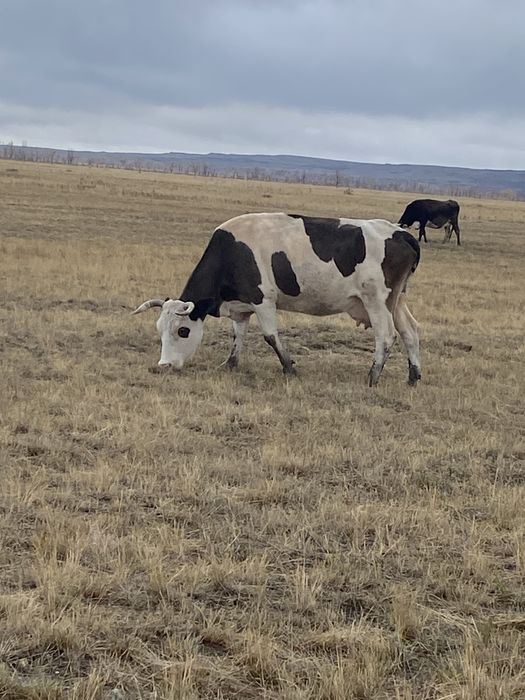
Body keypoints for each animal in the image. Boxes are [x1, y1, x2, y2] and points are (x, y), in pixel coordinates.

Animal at [133, 213, 422, 386]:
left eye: (183, 331)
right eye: (159, 330)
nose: (163, 365)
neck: (234, 251)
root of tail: (402, 233)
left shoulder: (263, 300)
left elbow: (270, 336)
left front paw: (289, 367)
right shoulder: (241, 307)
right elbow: (238, 335)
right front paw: (230, 363)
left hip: (377, 301)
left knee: (386, 336)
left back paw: (373, 377)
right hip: (397, 301)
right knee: (410, 332)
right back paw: (413, 376)